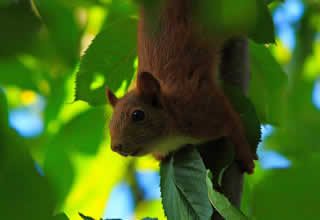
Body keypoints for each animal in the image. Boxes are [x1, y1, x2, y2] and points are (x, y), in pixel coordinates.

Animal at [106, 0, 258, 174]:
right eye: (110, 123)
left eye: (138, 115)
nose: (115, 147)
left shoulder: (203, 107)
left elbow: (234, 125)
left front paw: (246, 158)